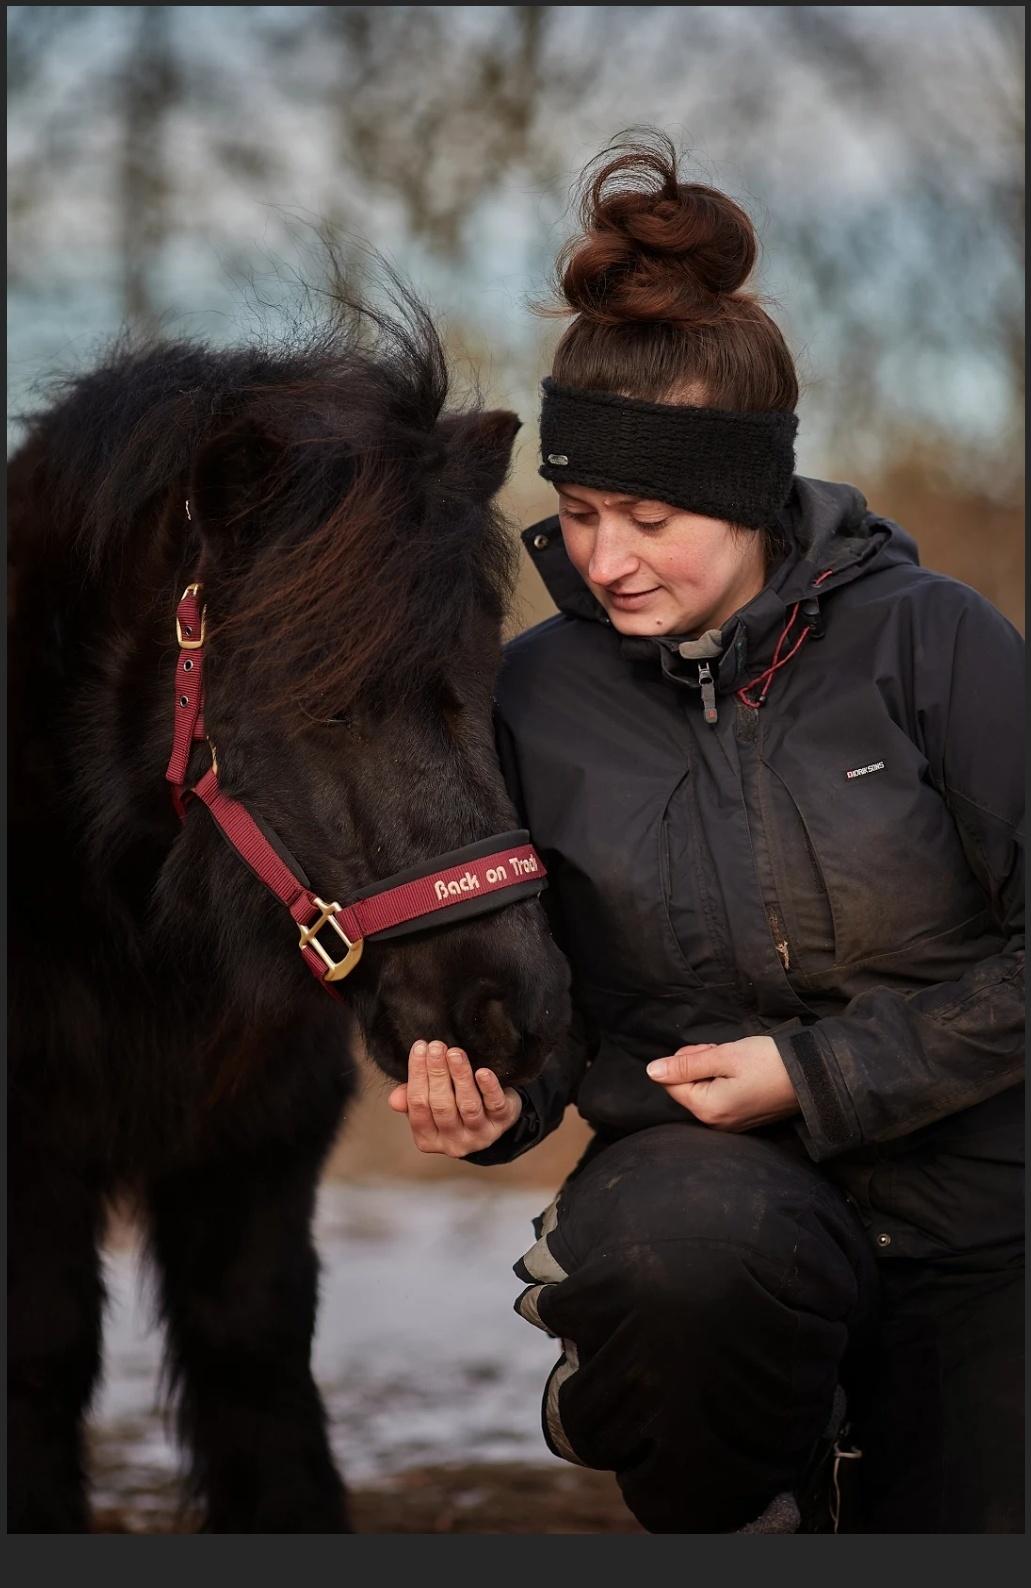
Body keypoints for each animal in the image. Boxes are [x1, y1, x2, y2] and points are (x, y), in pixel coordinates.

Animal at [8, 282, 565, 1524]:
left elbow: (256, 1370)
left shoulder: (256, 1163)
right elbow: (45, 1358)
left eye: (485, 677)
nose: (516, 1017)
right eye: (321, 695)